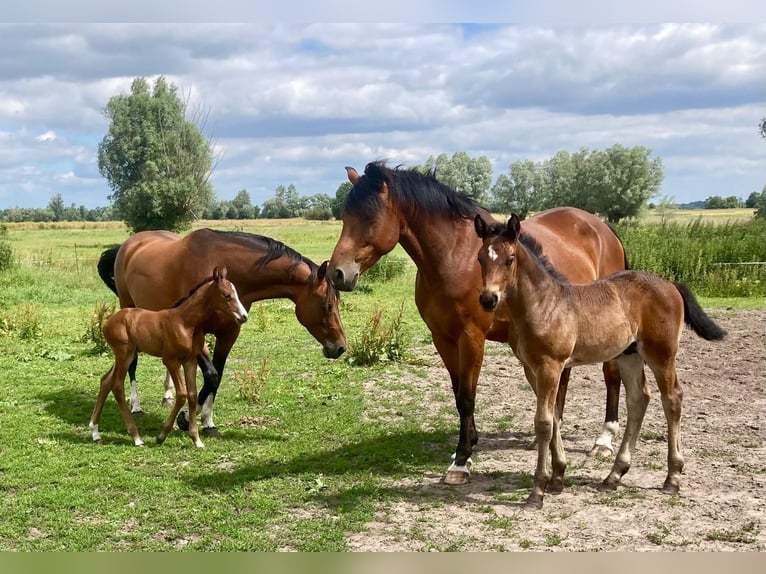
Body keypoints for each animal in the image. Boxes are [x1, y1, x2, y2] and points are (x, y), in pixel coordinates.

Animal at [89, 266, 249, 448]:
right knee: (117, 386)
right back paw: (136, 437)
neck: (185, 323)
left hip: (126, 355)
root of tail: (107, 323)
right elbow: (182, 394)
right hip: (124, 354)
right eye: (227, 295)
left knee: (106, 381)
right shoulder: (171, 361)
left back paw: (95, 432)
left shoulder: (190, 361)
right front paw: (162, 435)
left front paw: (197, 440)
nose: (243, 316)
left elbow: (192, 394)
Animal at [97, 228, 346, 436]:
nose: (341, 347)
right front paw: (187, 417)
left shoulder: (229, 333)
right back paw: (136, 405)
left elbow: (217, 375)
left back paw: (167, 395)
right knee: (132, 362)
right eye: (328, 305)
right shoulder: (197, 334)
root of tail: (128, 245)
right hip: (128, 310)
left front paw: (207, 421)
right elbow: (211, 375)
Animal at [327, 161, 628, 484]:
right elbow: (458, 392)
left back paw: (604, 441)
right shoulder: (442, 337)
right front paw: (467, 447)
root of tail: (602, 229)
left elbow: (467, 397)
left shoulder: (472, 337)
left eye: (370, 217)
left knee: (612, 375)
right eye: (345, 216)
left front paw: (460, 462)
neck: (455, 257)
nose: (337, 273)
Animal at [475, 214, 727, 509]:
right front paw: (558, 477)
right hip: (629, 354)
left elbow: (544, 423)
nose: (488, 299)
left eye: (510, 258)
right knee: (639, 399)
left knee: (672, 398)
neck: (543, 303)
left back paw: (672, 477)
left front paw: (538, 490)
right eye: (480, 257)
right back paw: (615, 474)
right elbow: (554, 418)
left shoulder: (551, 365)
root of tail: (671, 285)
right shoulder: (531, 368)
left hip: (661, 354)